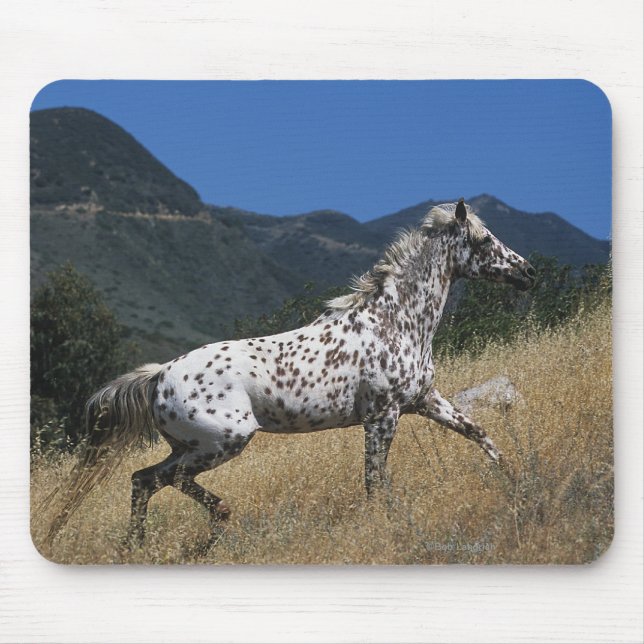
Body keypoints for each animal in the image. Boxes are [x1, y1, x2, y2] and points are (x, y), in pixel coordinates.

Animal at [46, 199, 536, 547]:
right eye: (485, 240)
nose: (528, 272)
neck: (396, 321)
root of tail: (159, 376)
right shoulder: (383, 416)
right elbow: (374, 480)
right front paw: (384, 522)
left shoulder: (424, 400)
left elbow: (479, 432)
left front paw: (515, 478)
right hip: (223, 442)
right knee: (159, 480)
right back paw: (214, 522)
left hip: (187, 445)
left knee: (142, 481)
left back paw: (141, 545)